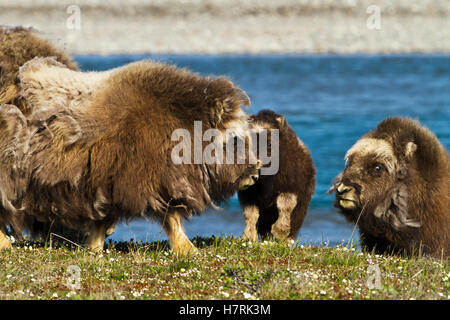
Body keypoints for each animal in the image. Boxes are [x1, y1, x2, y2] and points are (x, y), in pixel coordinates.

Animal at [0, 57, 260, 252]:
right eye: (235, 138)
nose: (256, 171)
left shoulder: (110, 185)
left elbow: (105, 220)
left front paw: (94, 248)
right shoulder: (150, 182)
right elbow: (170, 217)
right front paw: (188, 249)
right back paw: (5, 245)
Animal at [237, 110, 314, 242]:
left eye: (269, 144)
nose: (253, 164)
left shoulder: (290, 185)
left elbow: (285, 205)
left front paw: (280, 232)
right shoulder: (248, 193)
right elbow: (250, 213)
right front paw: (248, 237)